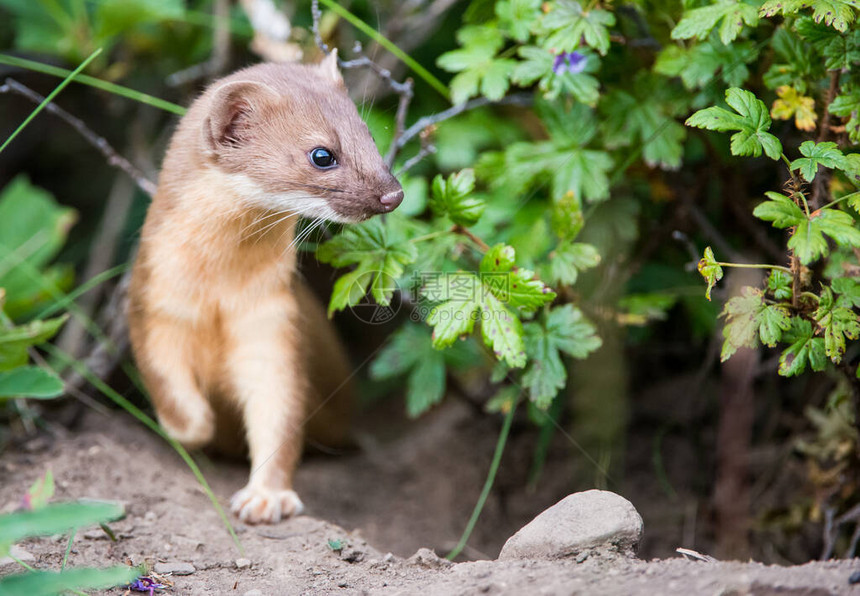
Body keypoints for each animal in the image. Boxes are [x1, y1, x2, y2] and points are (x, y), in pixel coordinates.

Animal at [129, 53, 404, 524]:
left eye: (368, 134)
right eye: (322, 154)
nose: (393, 194)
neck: (218, 294)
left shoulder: (274, 321)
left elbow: (279, 412)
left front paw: (266, 497)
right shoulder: (153, 302)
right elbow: (164, 379)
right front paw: (199, 427)